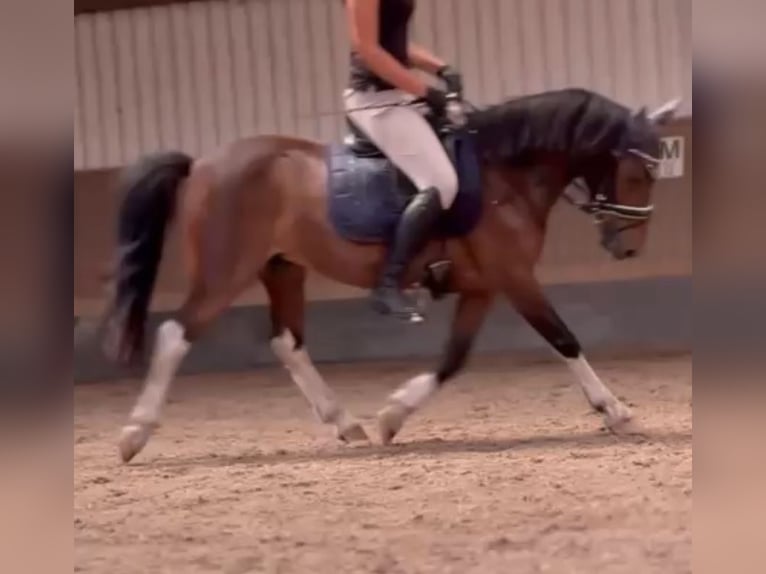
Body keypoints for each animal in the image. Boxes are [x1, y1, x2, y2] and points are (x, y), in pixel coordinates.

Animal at [100, 87, 681, 463]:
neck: (505, 174)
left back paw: (346, 423)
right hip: (227, 271)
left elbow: (454, 359)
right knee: (176, 334)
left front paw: (392, 416)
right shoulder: (515, 276)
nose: (630, 247)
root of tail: (200, 165)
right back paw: (134, 435)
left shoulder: (483, 285)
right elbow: (563, 338)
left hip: (282, 268)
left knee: (288, 343)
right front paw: (616, 410)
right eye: (640, 172)